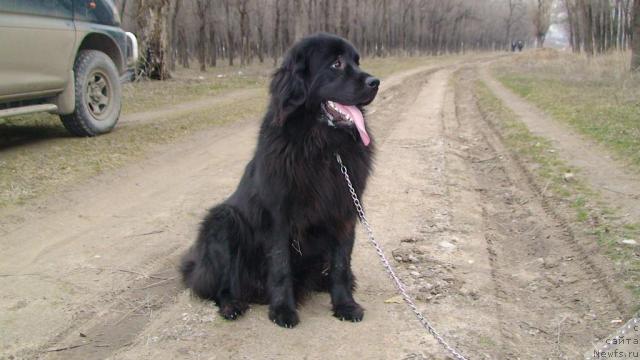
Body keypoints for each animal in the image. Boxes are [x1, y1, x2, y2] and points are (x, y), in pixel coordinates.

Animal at [180, 33, 380, 330]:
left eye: (357, 61)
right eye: (336, 64)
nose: (375, 82)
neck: (322, 147)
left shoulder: (345, 211)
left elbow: (341, 264)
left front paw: (345, 304)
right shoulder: (279, 216)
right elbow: (280, 265)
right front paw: (283, 310)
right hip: (223, 221)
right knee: (221, 285)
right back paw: (232, 305)